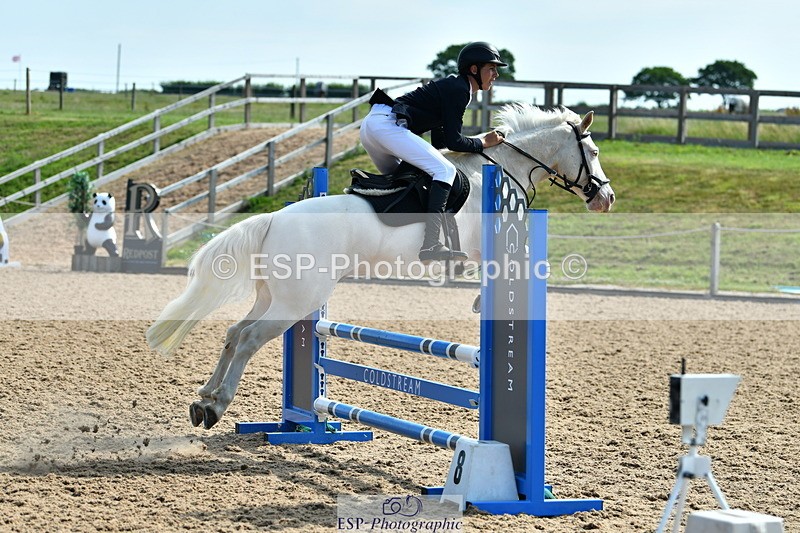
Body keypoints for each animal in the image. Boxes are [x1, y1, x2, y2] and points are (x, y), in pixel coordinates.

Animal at [146, 103, 615, 430]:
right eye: (592, 151)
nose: (606, 199)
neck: (497, 171)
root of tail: (274, 218)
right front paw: (483, 301)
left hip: (275, 296)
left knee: (233, 333)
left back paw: (203, 399)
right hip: (299, 300)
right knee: (247, 340)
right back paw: (217, 405)